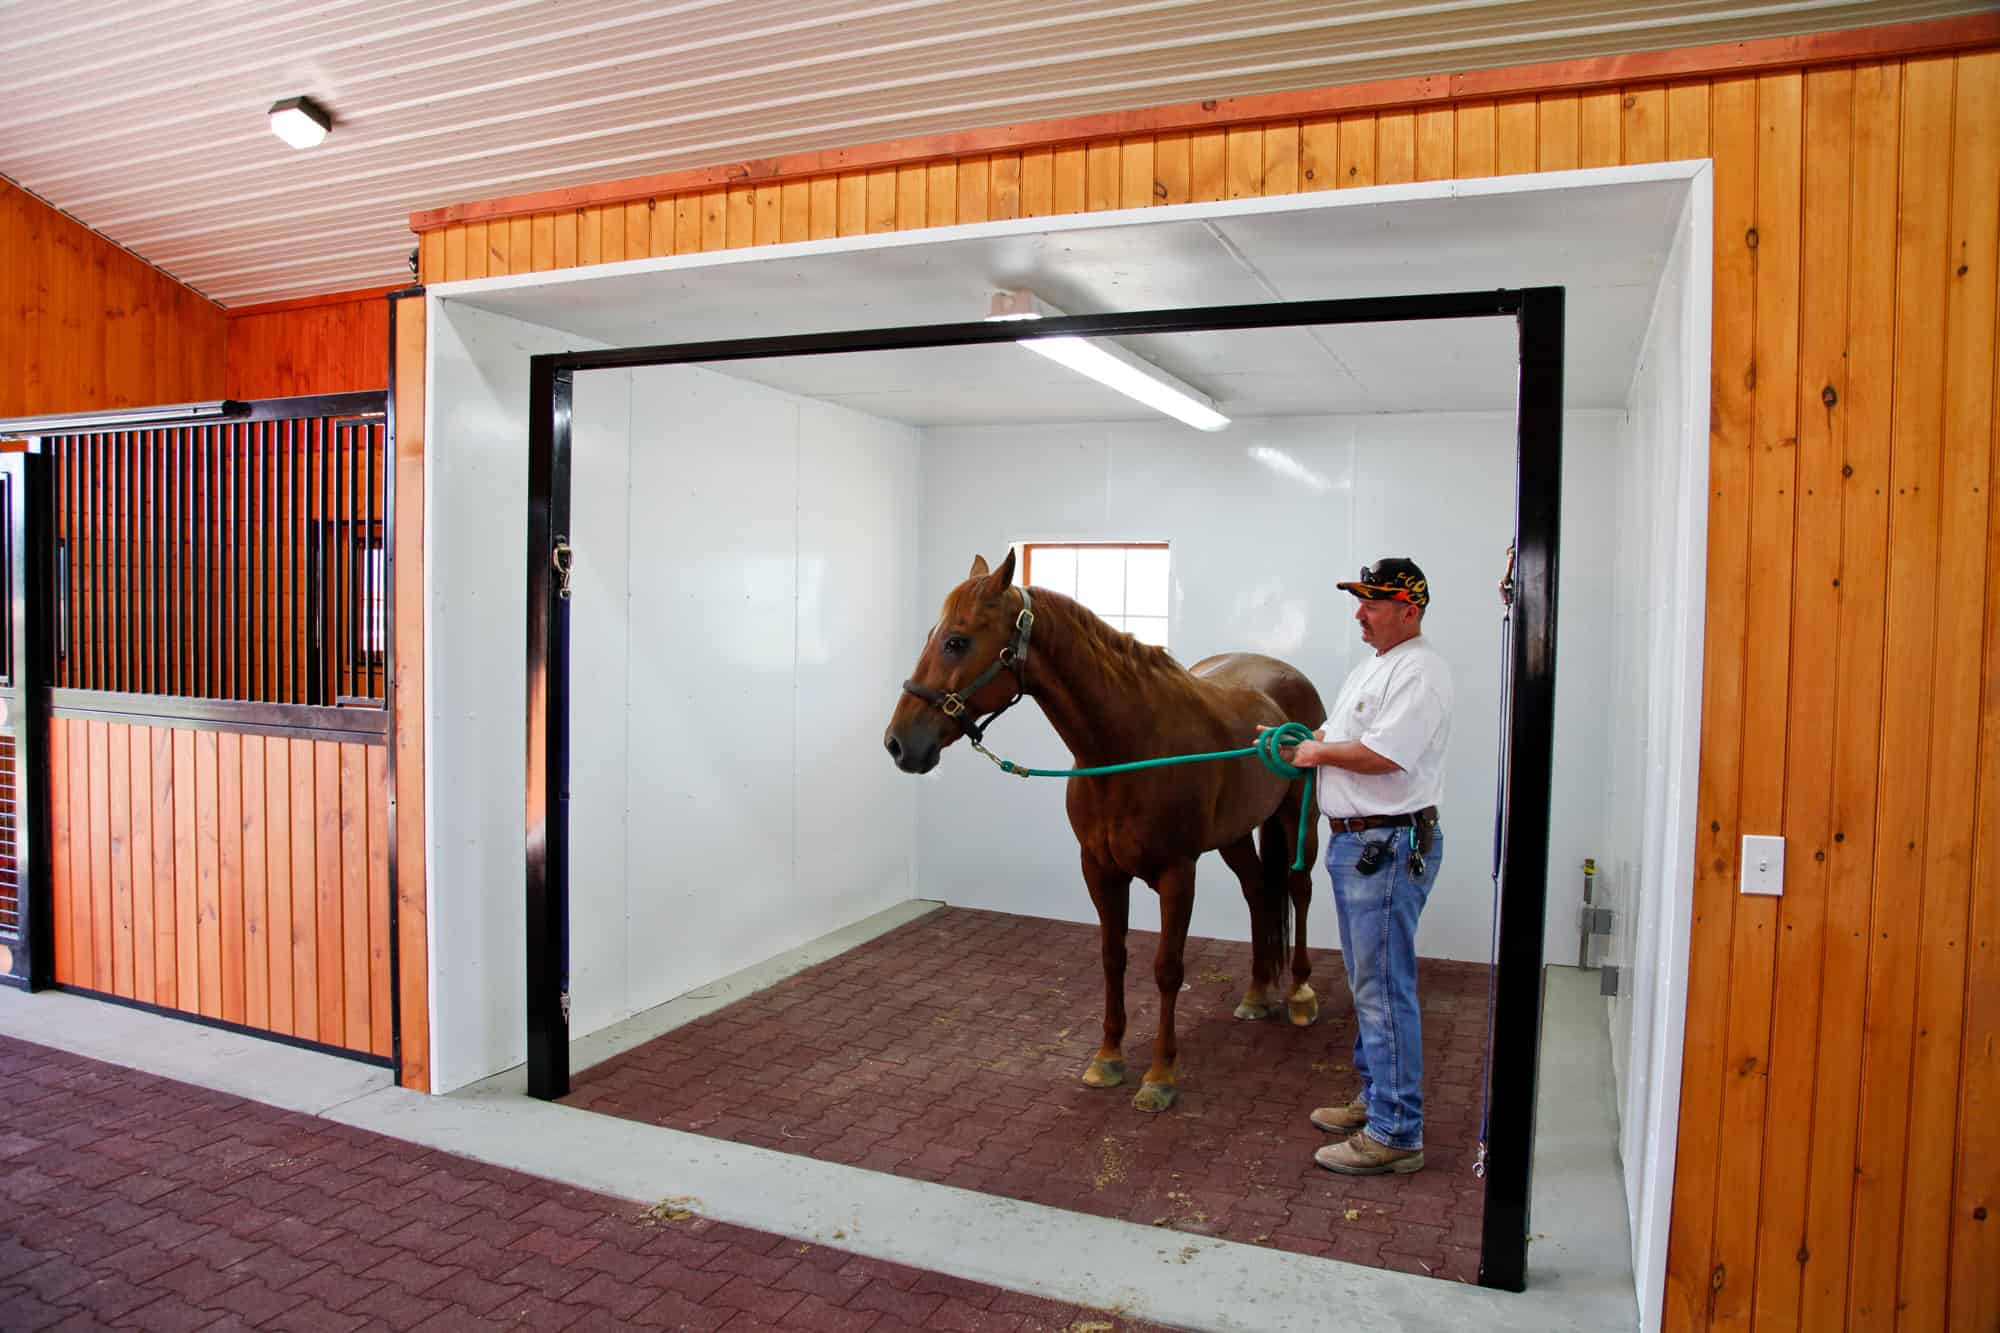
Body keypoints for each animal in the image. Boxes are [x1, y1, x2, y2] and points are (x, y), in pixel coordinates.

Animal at [888, 548, 1328, 1112]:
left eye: (956, 641)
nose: (899, 743)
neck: (1127, 747)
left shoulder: (1178, 872)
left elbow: (1167, 968)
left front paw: (1160, 1075)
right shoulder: (1099, 869)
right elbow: (1112, 957)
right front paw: (1109, 1058)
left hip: (1300, 818)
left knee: (1297, 888)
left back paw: (1299, 995)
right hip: (1234, 834)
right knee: (1257, 892)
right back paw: (1255, 994)